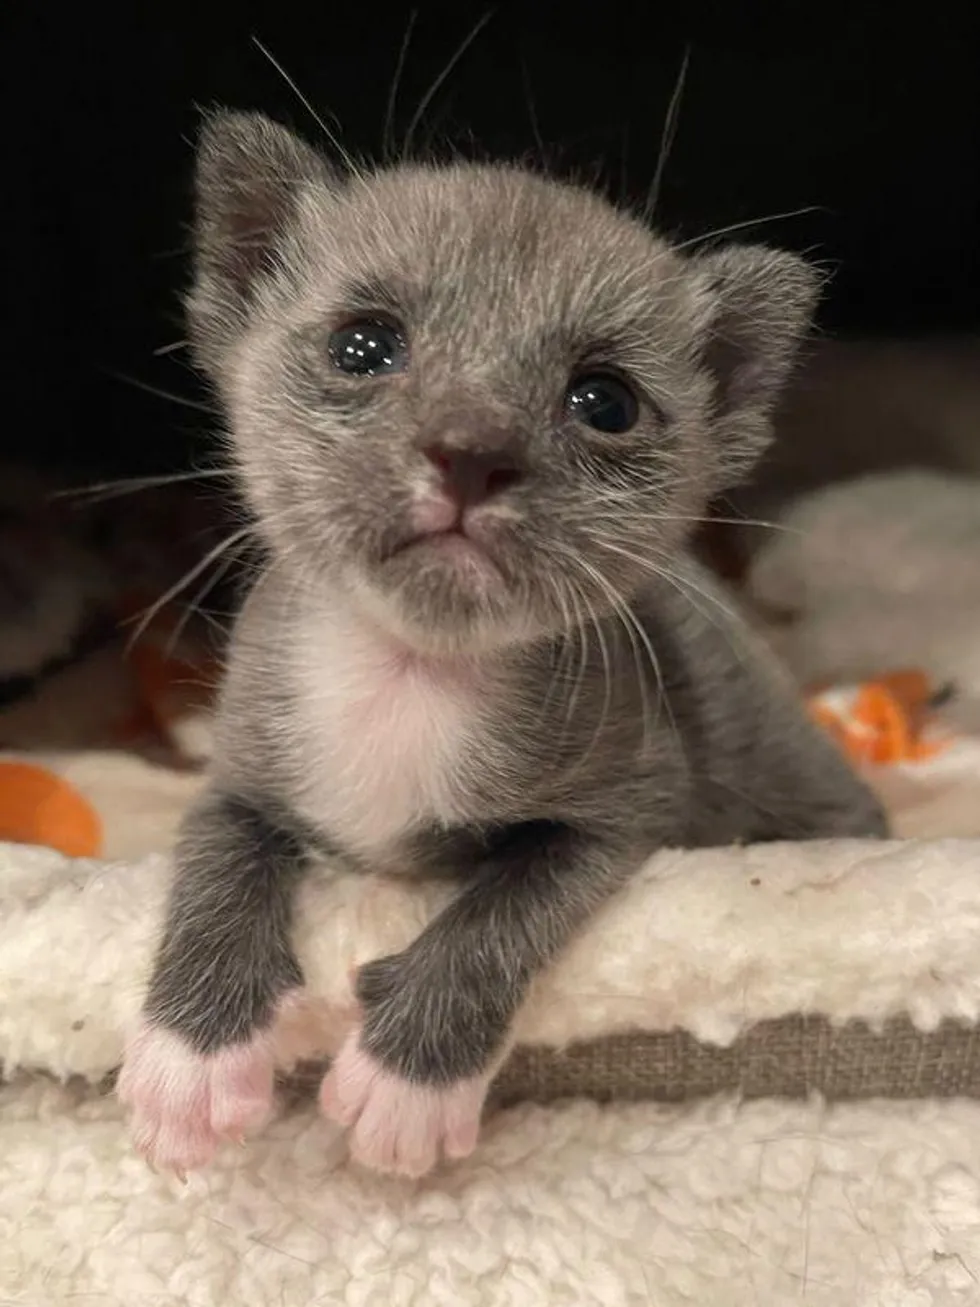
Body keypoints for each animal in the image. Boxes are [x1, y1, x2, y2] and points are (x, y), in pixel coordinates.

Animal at [116, 109, 888, 1176]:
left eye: (605, 401)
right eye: (364, 345)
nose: (471, 453)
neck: (411, 674)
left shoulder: (631, 803)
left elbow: (501, 907)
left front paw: (405, 1085)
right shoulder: (241, 773)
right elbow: (216, 864)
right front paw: (188, 1063)